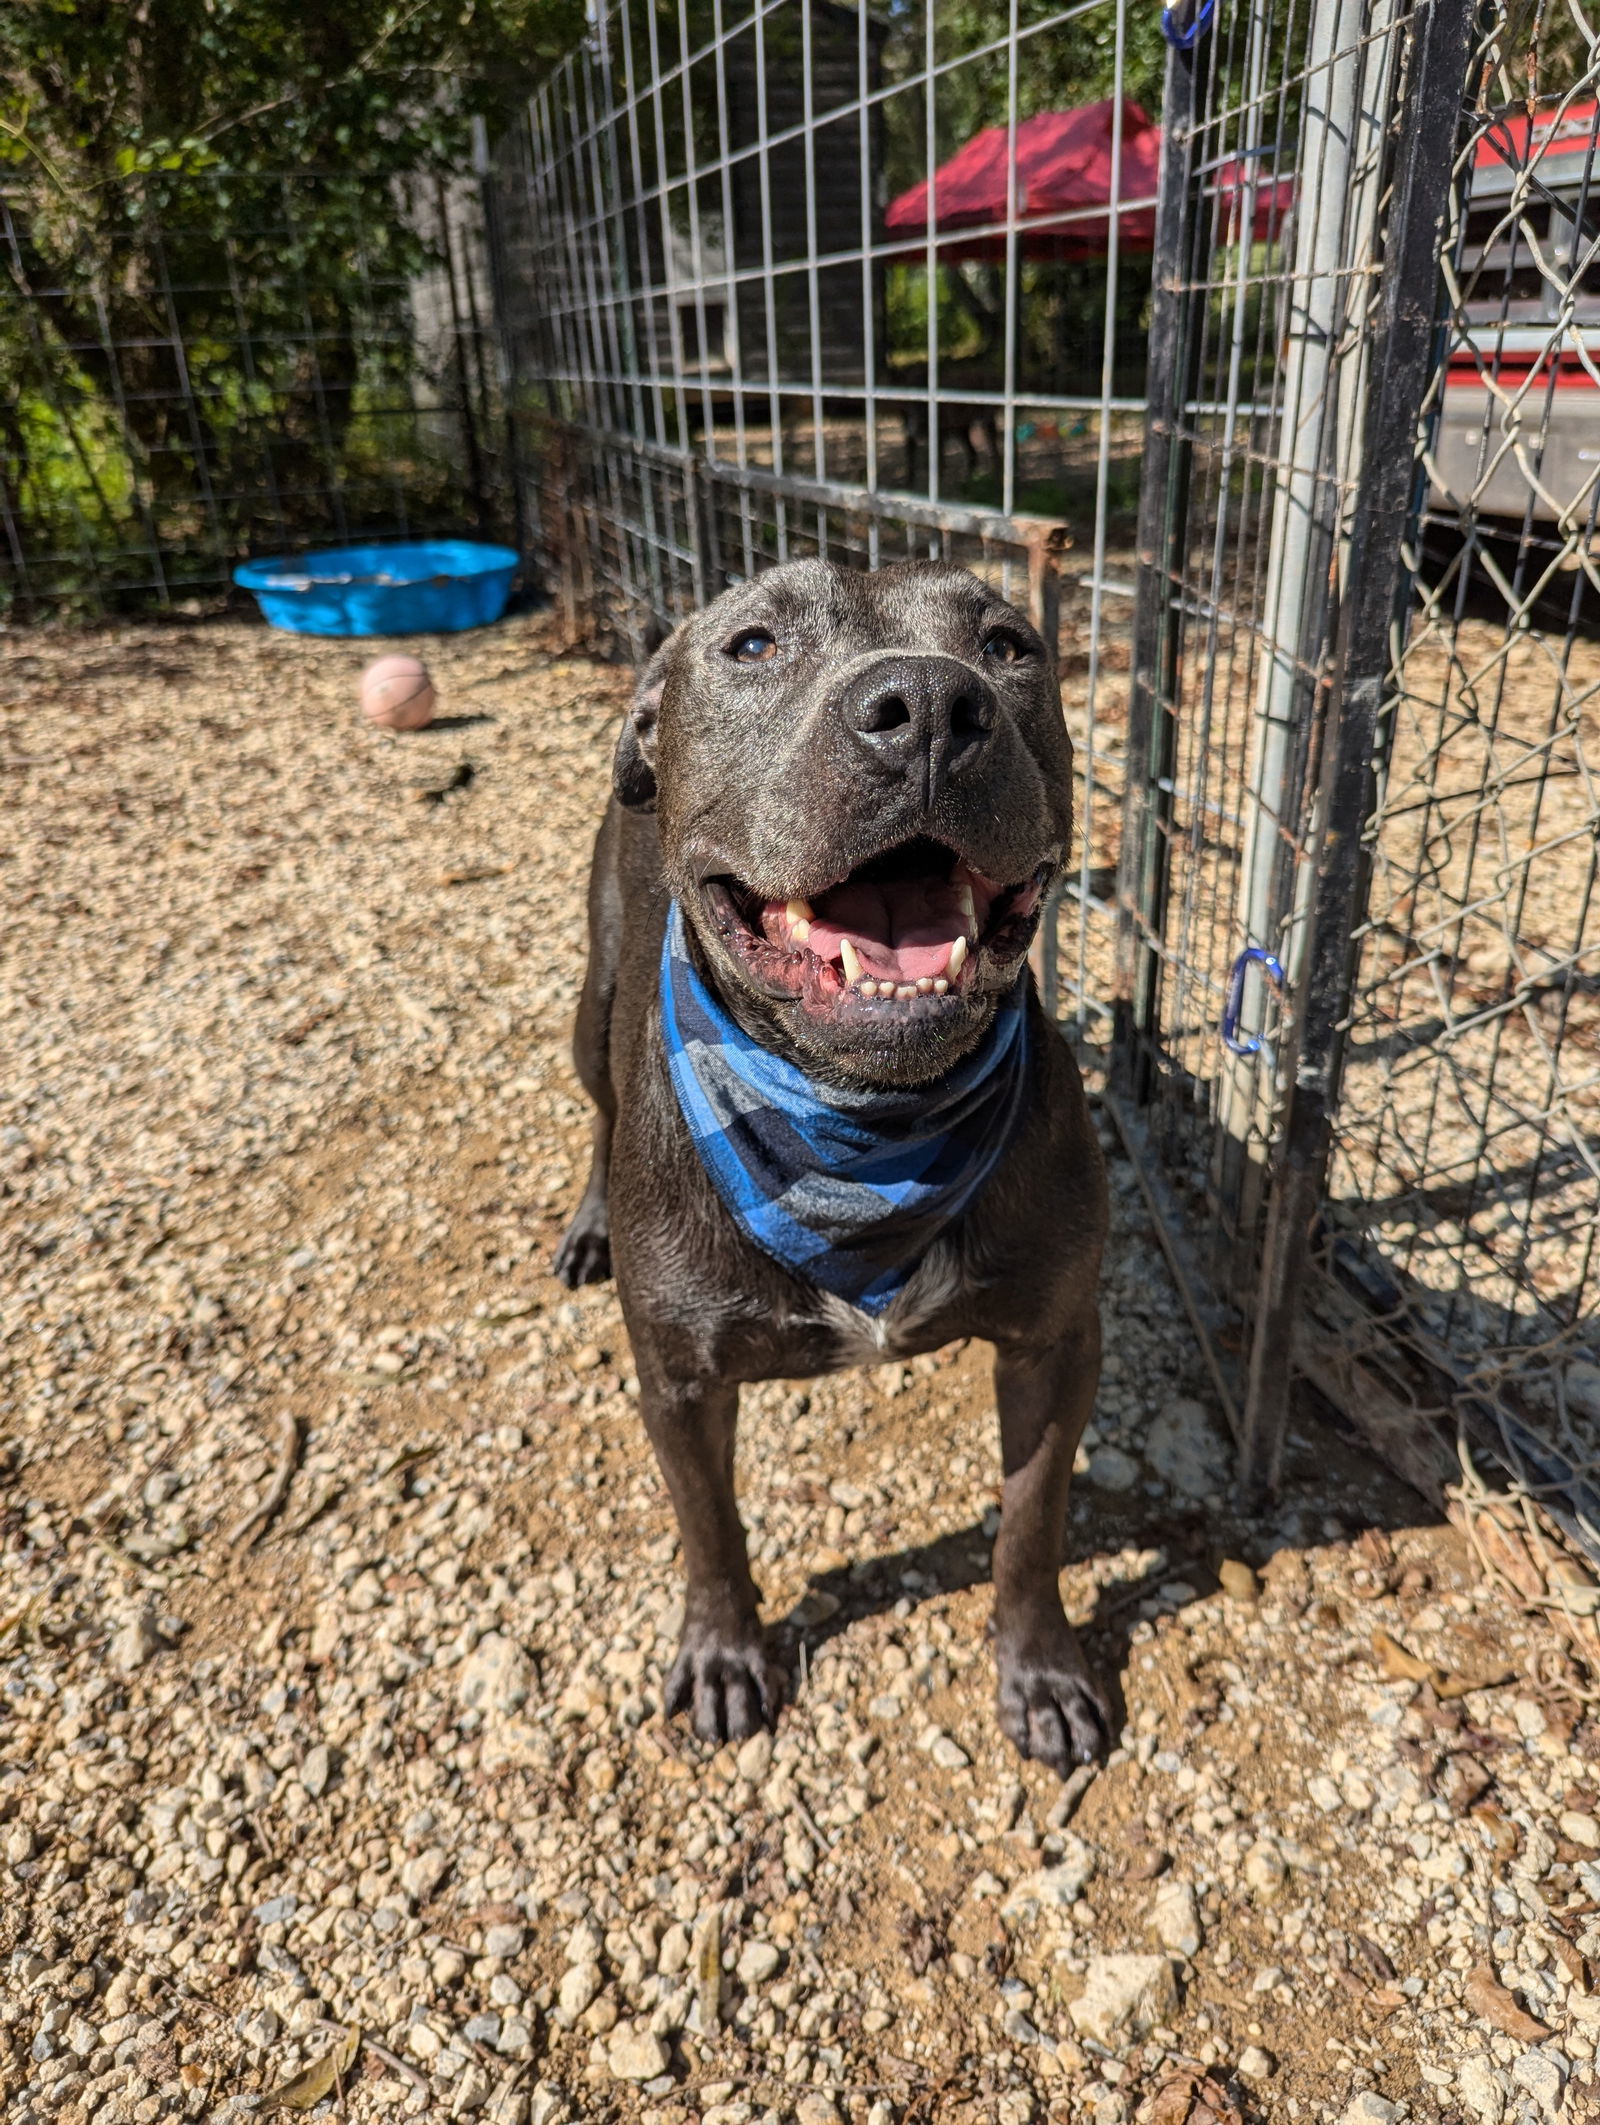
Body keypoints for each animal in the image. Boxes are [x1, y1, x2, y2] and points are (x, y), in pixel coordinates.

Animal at [556, 556, 1104, 1768]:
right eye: (754, 645)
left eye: (1009, 646)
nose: (931, 706)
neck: (863, 1134)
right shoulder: (679, 1380)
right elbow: (710, 1530)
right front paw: (724, 1653)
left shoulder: (1054, 1345)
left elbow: (1031, 1525)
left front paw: (1041, 1669)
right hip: (592, 1000)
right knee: (598, 1108)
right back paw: (587, 1222)